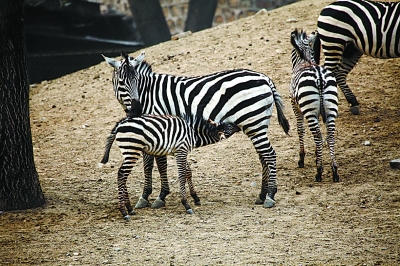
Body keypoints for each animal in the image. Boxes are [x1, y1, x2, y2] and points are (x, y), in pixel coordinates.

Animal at [101, 98, 241, 219]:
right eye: (229, 126)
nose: (239, 126)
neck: (193, 133)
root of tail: (120, 124)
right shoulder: (181, 150)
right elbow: (182, 174)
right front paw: (186, 204)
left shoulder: (179, 151)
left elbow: (188, 172)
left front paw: (195, 197)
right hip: (131, 149)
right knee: (121, 174)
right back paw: (124, 211)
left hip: (129, 151)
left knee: (122, 175)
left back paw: (129, 208)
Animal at [290, 29, 340, 183]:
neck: (305, 61)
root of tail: (319, 76)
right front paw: (318, 154)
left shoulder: (296, 107)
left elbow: (300, 129)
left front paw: (302, 158)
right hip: (331, 109)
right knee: (330, 135)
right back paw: (334, 171)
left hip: (309, 110)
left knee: (317, 135)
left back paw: (319, 172)